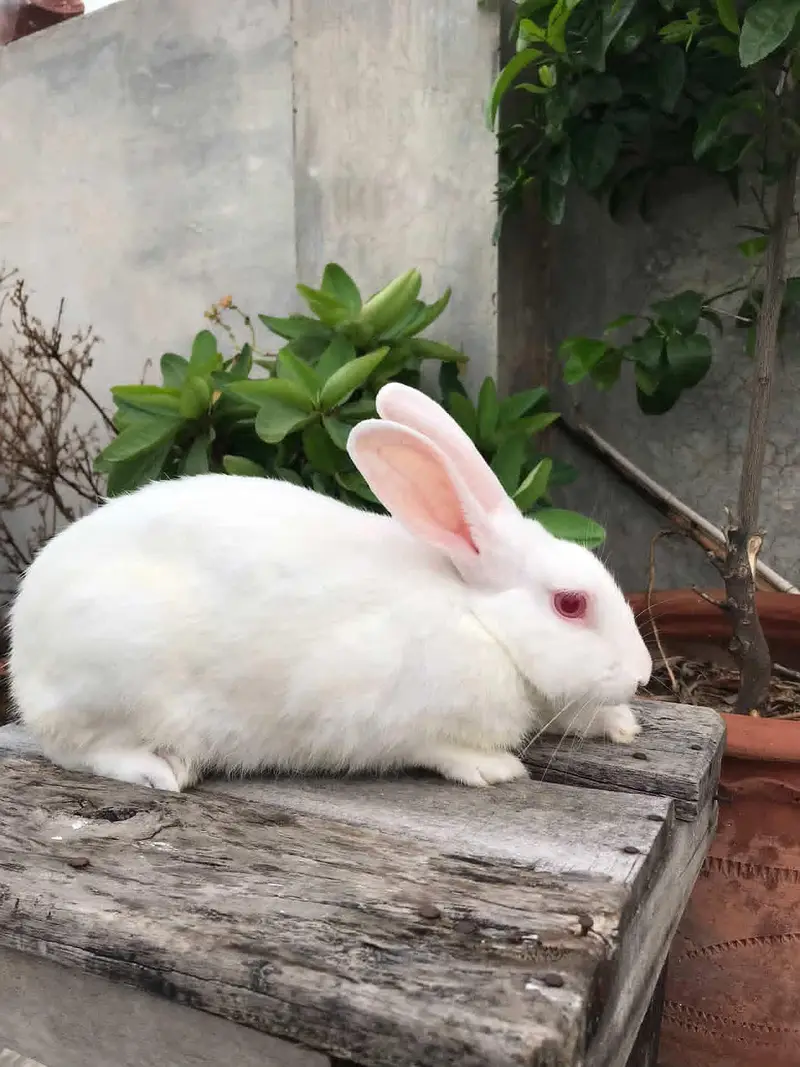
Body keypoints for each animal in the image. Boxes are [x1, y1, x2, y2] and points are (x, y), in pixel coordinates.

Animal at [8, 381, 652, 792]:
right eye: (570, 604)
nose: (644, 675)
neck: (482, 619)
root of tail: (23, 653)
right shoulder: (380, 711)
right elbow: (430, 746)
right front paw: (493, 769)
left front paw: (621, 725)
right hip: (107, 681)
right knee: (73, 749)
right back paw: (160, 771)